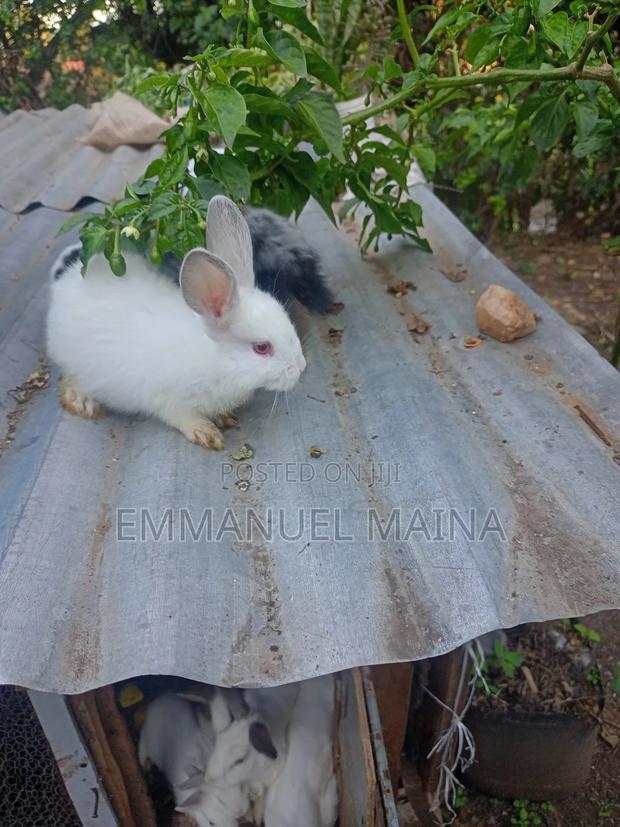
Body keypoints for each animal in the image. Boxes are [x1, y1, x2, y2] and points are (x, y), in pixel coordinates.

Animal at [47, 196, 306, 449]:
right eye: (262, 347)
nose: (301, 367)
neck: (216, 360)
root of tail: (68, 278)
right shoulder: (169, 400)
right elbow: (182, 417)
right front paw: (207, 433)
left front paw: (223, 418)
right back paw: (82, 402)